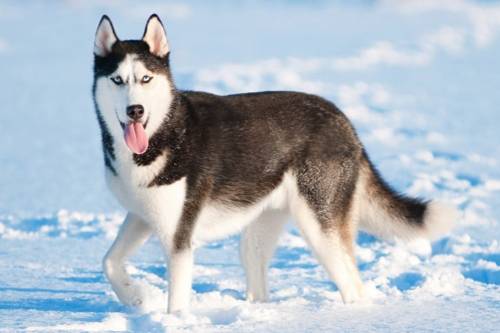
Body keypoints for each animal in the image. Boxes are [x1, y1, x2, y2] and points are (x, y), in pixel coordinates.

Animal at [93, 14, 458, 312]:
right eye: (117, 80)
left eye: (145, 79)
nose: (135, 110)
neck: (163, 133)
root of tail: (343, 120)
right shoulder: (142, 216)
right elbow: (109, 262)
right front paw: (137, 297)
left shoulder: (179, 238)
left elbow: (177, 303)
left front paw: (169, 318)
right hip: (258, 232)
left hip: (319, 227)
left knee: (353, 285)